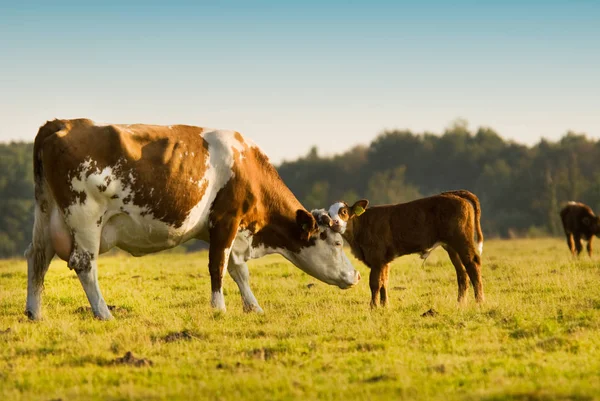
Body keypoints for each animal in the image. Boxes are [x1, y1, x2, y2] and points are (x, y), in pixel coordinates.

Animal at [24, 119, 360, 318]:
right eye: (338, 242)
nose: (356, 275)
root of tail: (63, 123)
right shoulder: (226, 219)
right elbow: (218, 267)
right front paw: (219, 309)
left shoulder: (233, 231)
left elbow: (239, 271)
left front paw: (253, 308)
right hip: (85, 215)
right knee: (83, 263)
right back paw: (104, 313)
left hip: (46, 212)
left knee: (37, 257)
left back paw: (34, 313)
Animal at [326, 190, 486, 306]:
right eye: (328, 215)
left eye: (344, 212)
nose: (334, 223)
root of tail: (454, 194)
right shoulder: (384, 260)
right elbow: (384, 281)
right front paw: (384, 305)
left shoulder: (377, 258)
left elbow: (375, 283)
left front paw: (373, 306)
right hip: (451, 246)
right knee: (462, 273)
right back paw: (460, 303)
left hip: (462, 240)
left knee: (473, 264)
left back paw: (479, 301)